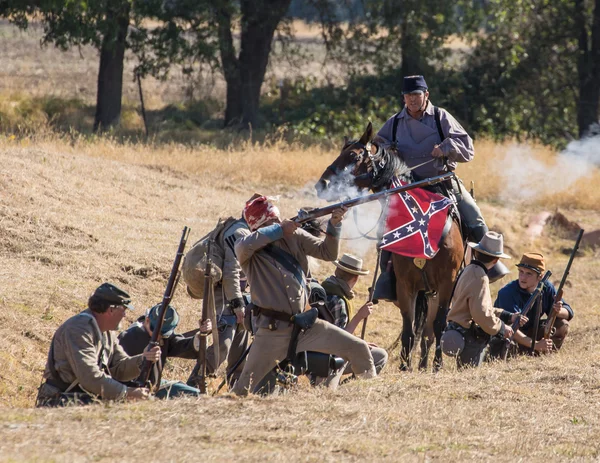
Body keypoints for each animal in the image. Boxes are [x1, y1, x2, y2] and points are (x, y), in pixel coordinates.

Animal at [314, 122, 464, 370]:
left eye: (354, 156)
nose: (322, 184)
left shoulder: (447, 283)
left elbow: (439, 325)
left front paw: (437, 366)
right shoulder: (405, 286)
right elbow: (408, 329)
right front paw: (405, 366)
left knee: (430, 330)